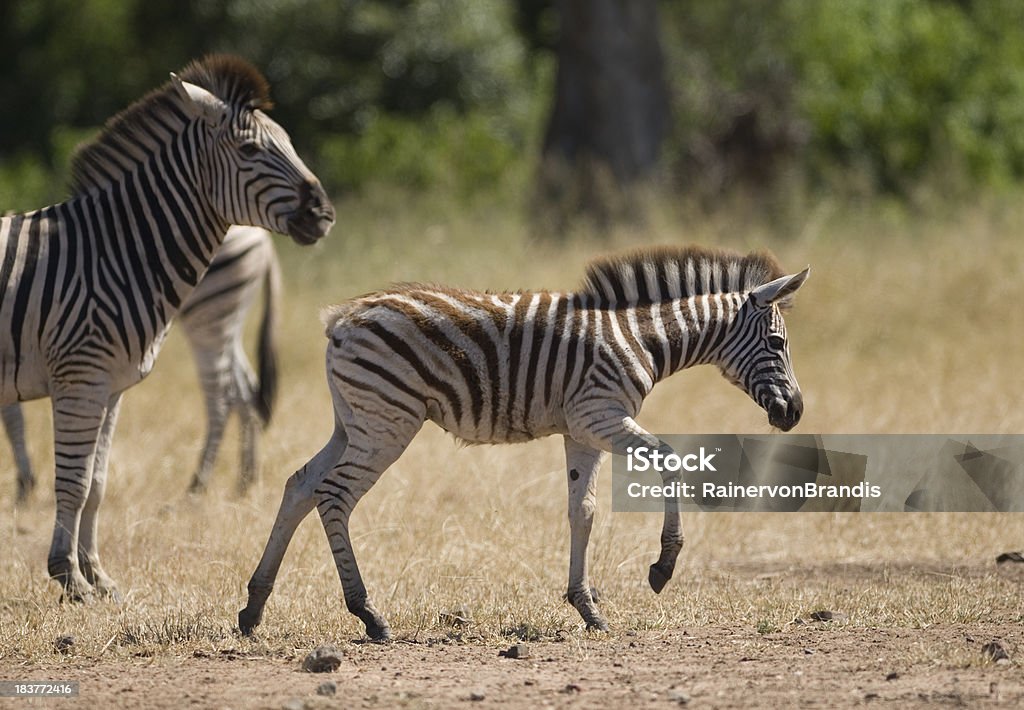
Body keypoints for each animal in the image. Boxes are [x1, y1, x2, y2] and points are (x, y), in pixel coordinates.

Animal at [4, 225, 284, 497]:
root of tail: (265, 241)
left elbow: (12, 416)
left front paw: (24, 484)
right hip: (225, 324)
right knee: (246, 390)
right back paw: (245, 480)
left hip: (208, 318)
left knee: (222, 398)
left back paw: (198, 485)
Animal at [239, 243, 806, 635]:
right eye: (777, 343)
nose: (796, 413)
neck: (642, 338)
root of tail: (341, 318)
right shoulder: (601, 415)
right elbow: (670, 460)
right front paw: (663, 566)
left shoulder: (583, 430)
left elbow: (583, 511)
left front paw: (587, 607)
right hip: (387, 421)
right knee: (334, 495)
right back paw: (368, 614)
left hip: (354, 420)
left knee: (300, 485)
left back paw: (254, 606)